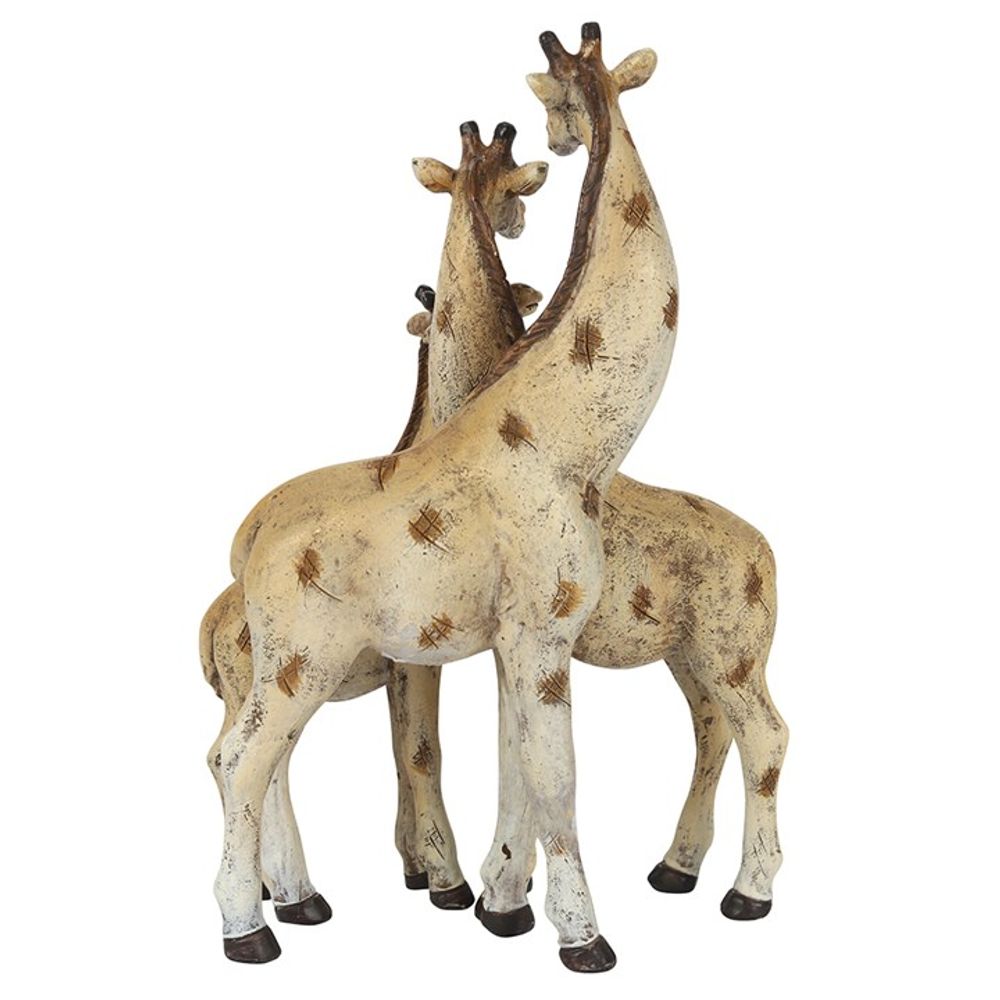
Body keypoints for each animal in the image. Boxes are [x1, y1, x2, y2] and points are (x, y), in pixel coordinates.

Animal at [200, 123, 548, 917]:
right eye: (506, 183)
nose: (517, 223)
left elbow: (409, 755)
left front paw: (421, 868)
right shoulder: (414, 658)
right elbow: (423, 752)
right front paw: (449, 881)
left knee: (246, 759)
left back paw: (277, 890)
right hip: (281, 672)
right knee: (244, 759)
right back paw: (282, 896)